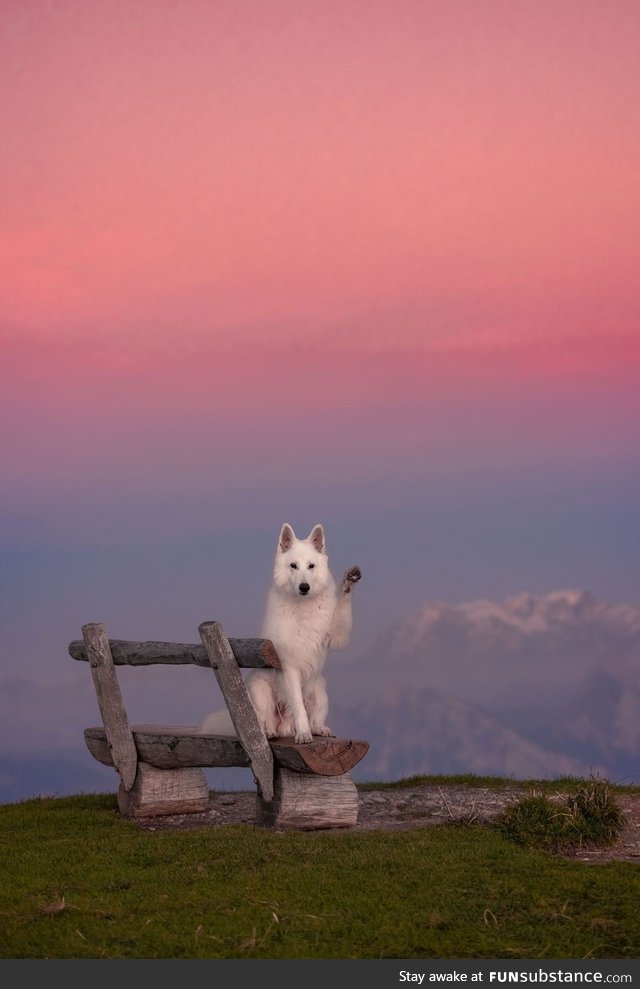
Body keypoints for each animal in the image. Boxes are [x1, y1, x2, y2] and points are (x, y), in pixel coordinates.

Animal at [202, 524, 360, 740]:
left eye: (311, 566)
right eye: (293, 566)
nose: (304, 587)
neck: (303, 606)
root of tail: (285, 725)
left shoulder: (338, 637)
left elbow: (344, 606)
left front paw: (348, 582)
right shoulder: (289, 667)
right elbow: (299, 708)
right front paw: (303, 735)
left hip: (319, 690)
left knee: (314, 718)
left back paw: (318, 729)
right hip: (261, 691)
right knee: (263, 721)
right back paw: (271, 732)